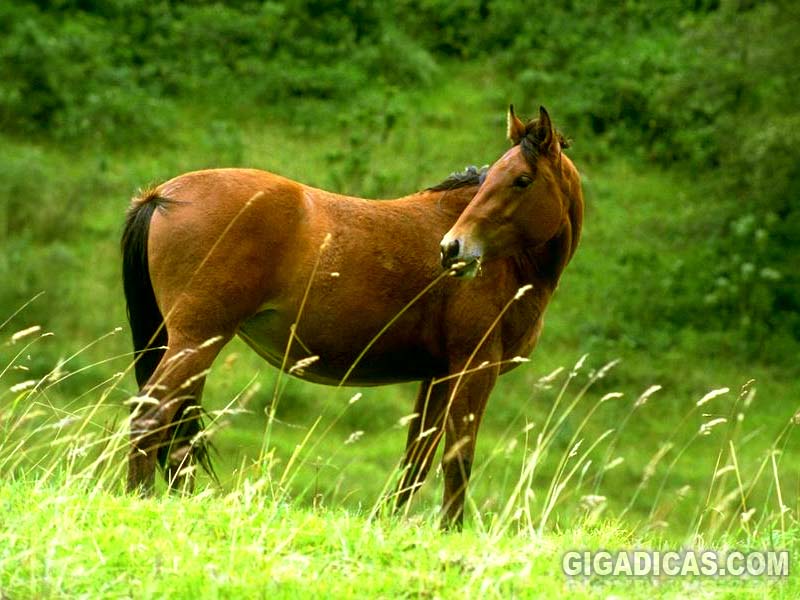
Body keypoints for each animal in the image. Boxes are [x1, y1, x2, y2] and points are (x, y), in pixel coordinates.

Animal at [121, 105, 583, 529]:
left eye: (521, 180)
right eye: (495, 179)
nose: (452, 249)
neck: (514, 264)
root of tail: (161, 195)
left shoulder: (438, 376)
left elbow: (416, 461)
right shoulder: (473, 369)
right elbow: (458, 459)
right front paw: (451, 530)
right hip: (196, 342)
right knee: (149, 418)